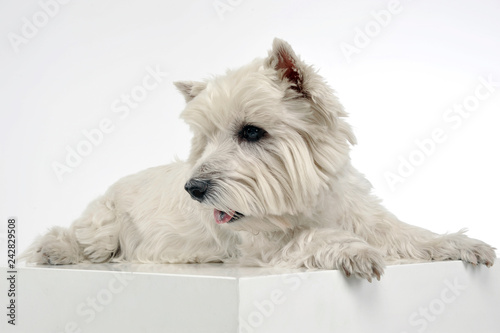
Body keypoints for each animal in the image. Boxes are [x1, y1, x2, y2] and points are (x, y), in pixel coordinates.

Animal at [20, 38, 496, 280]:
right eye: (207, 139)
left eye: (252, 132)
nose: (193, 189)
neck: (304, 201)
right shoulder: (265, 244)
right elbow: (315, 238)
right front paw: (356, 253)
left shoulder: (361, 213)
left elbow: (407, 233)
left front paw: (463, 244)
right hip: (105, 222)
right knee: (81, 237)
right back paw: (52, 251)